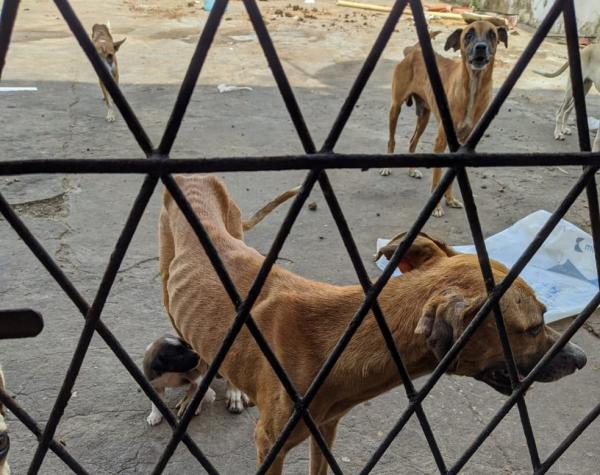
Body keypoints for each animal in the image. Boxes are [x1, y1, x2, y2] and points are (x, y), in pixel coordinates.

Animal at [158, 176, 584, 475]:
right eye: (534, 326)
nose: (581, 359)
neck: (338, 342)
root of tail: (193, 176)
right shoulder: (269, 444)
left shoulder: (325, 431)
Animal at [386, 20, 508, 218]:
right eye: (468, 35)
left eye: (492, 34)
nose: (480, 48)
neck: (473, 86)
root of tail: (414, 50)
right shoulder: (441, 139)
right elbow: (437, 176)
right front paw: (436, 207)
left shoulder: (462, 143)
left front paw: (450, 199)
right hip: (395, 108)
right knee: (392, 139)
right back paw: (387, 166)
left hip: (424, 116)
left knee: (412, 142)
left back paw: (412, 170)